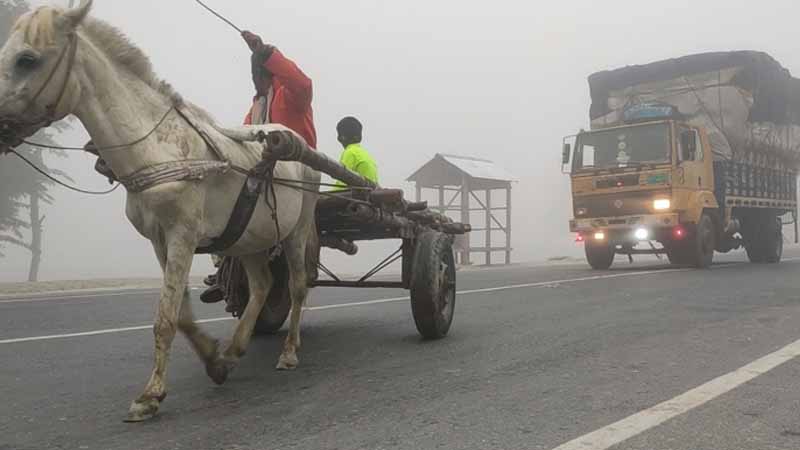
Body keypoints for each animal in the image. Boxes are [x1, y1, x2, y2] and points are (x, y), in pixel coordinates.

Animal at [0, 0, 322, 422]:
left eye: (27, 59)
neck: (158, 148)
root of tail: (293, 139)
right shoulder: (159, 240)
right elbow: (181, 313)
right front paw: (214, 360)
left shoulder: (182, 234)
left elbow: (166, 316)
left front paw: (150, 395)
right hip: (249, 238)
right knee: (263, 285)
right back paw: (235, 350)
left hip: (297, 229)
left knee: (297, 286)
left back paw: (289, 352)